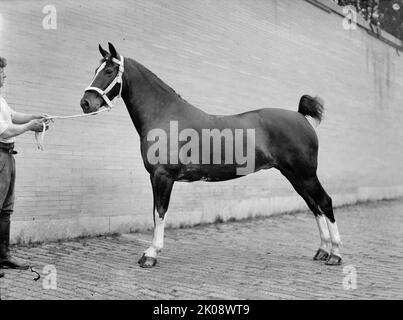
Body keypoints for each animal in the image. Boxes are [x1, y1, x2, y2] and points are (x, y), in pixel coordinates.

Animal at [80, 42, 342, 268]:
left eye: (109, 71)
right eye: (95, 70)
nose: (85, 103)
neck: (165, 115)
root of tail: (300, 116)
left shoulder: (163, 176)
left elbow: (160, 213)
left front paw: (151, 254)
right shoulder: (155, 177)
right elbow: (155, 213)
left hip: (305, 174)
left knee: (325, 202)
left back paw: (335, 254)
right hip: (294, 176)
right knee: (314, 206)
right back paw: (322, 251)